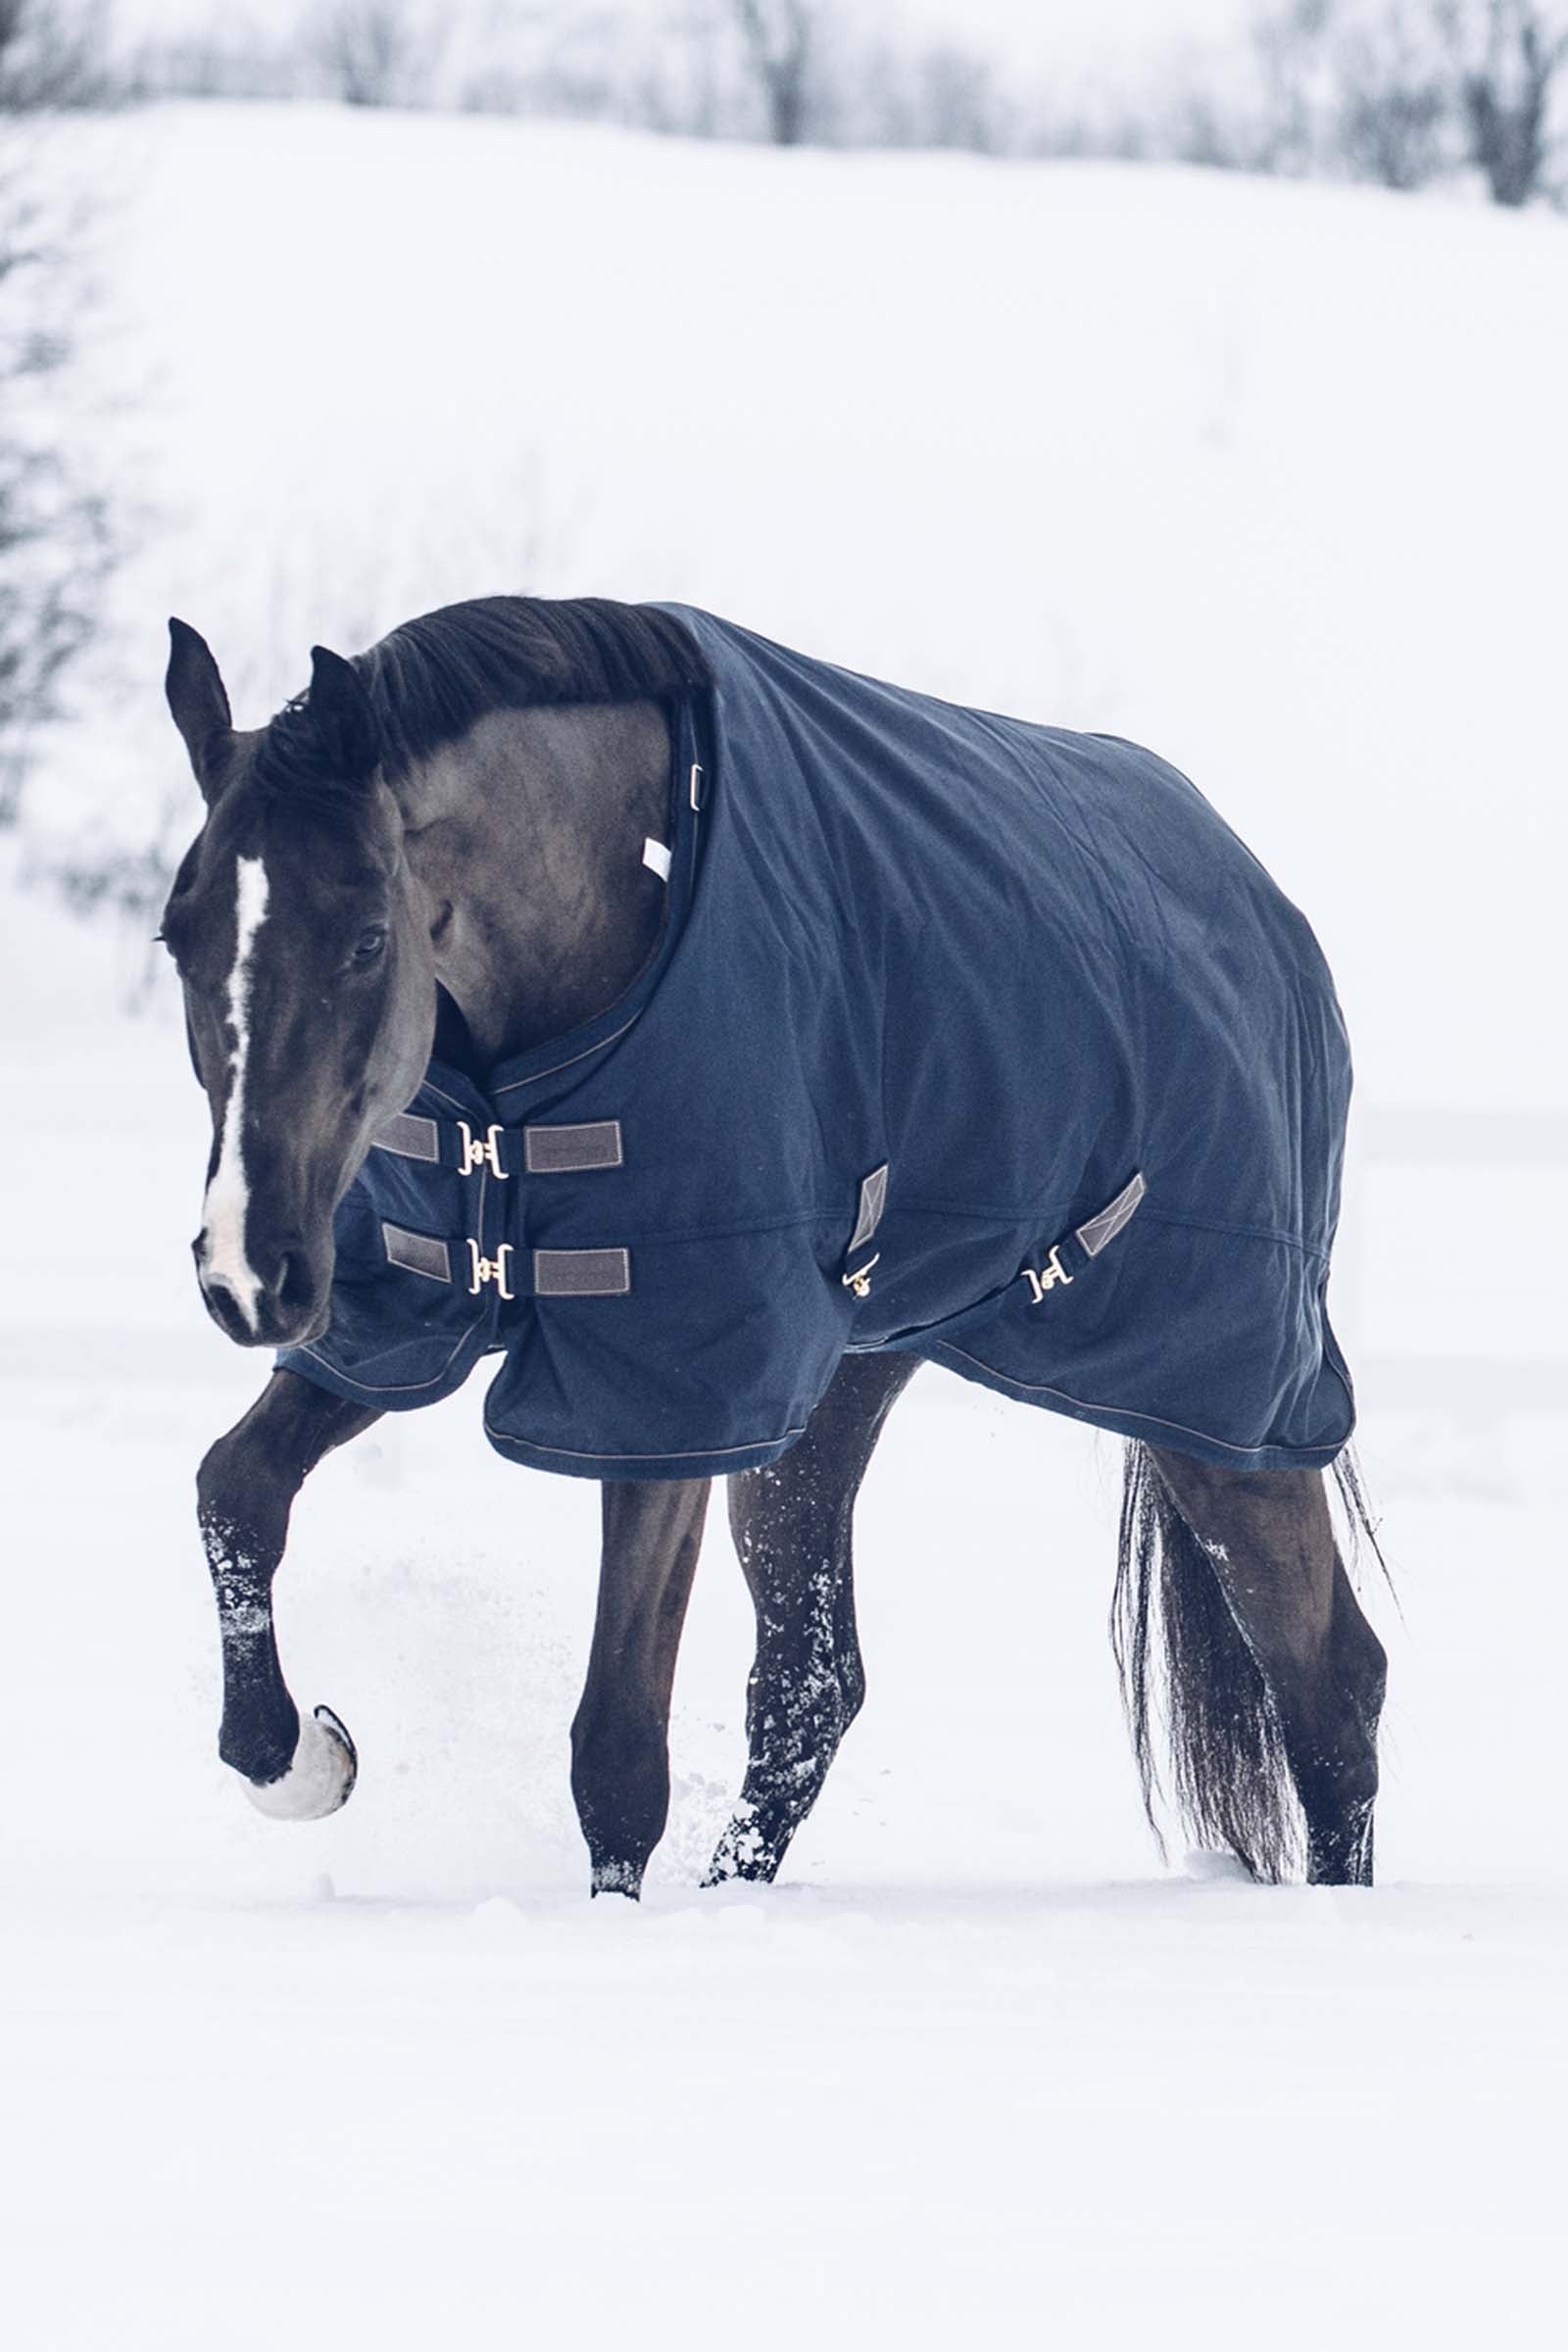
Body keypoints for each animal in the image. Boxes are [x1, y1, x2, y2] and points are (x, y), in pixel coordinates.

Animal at [160, 594, 1387, 1896]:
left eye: (363, 939)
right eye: (177, 937)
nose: (246, 1273)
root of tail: (1267, 912)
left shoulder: (665, 1389)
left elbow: (616, 1743)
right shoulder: (403, 1312)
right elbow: (233, 1490)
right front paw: (298, 1760)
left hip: (1219, 1407)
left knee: (1329, 1683)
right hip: (836, 1392)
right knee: (810, 1688)